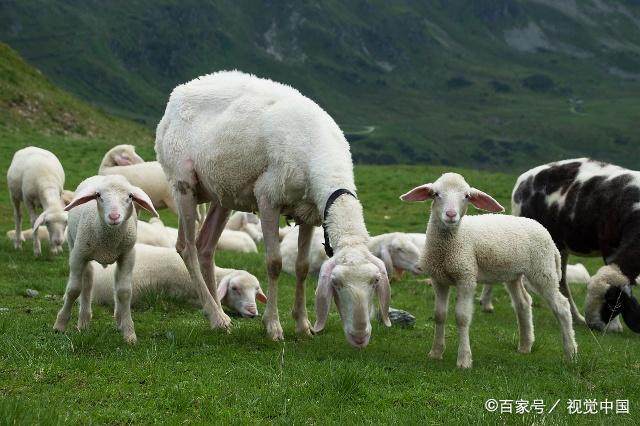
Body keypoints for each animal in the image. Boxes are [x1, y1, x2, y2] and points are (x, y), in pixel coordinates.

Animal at [52, 173, 158, 342]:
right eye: (98, 195)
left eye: (130, 196)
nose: (114, 216)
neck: (108, 241)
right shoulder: (78, 256)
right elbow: (74, 289)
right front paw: (60, 325)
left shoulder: (128, 256)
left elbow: (124, 292)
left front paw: (129, 333)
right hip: (75, 243)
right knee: (87, 282)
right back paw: (83, 321)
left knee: (114, 282)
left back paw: (118, 318)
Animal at [400, 171, 576, 368]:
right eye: (436, 194)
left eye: (466, 196)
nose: (451, 214)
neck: (448, 247)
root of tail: (546, 233)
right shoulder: (438, 280)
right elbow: (439, 315)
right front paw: (436, 352)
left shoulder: (466, 277)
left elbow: (462, 318)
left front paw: (464, 359)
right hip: (514, 274)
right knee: (523, 303)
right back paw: (525, 346)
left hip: (542, 270)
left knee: (561, 306)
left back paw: (570, 353)